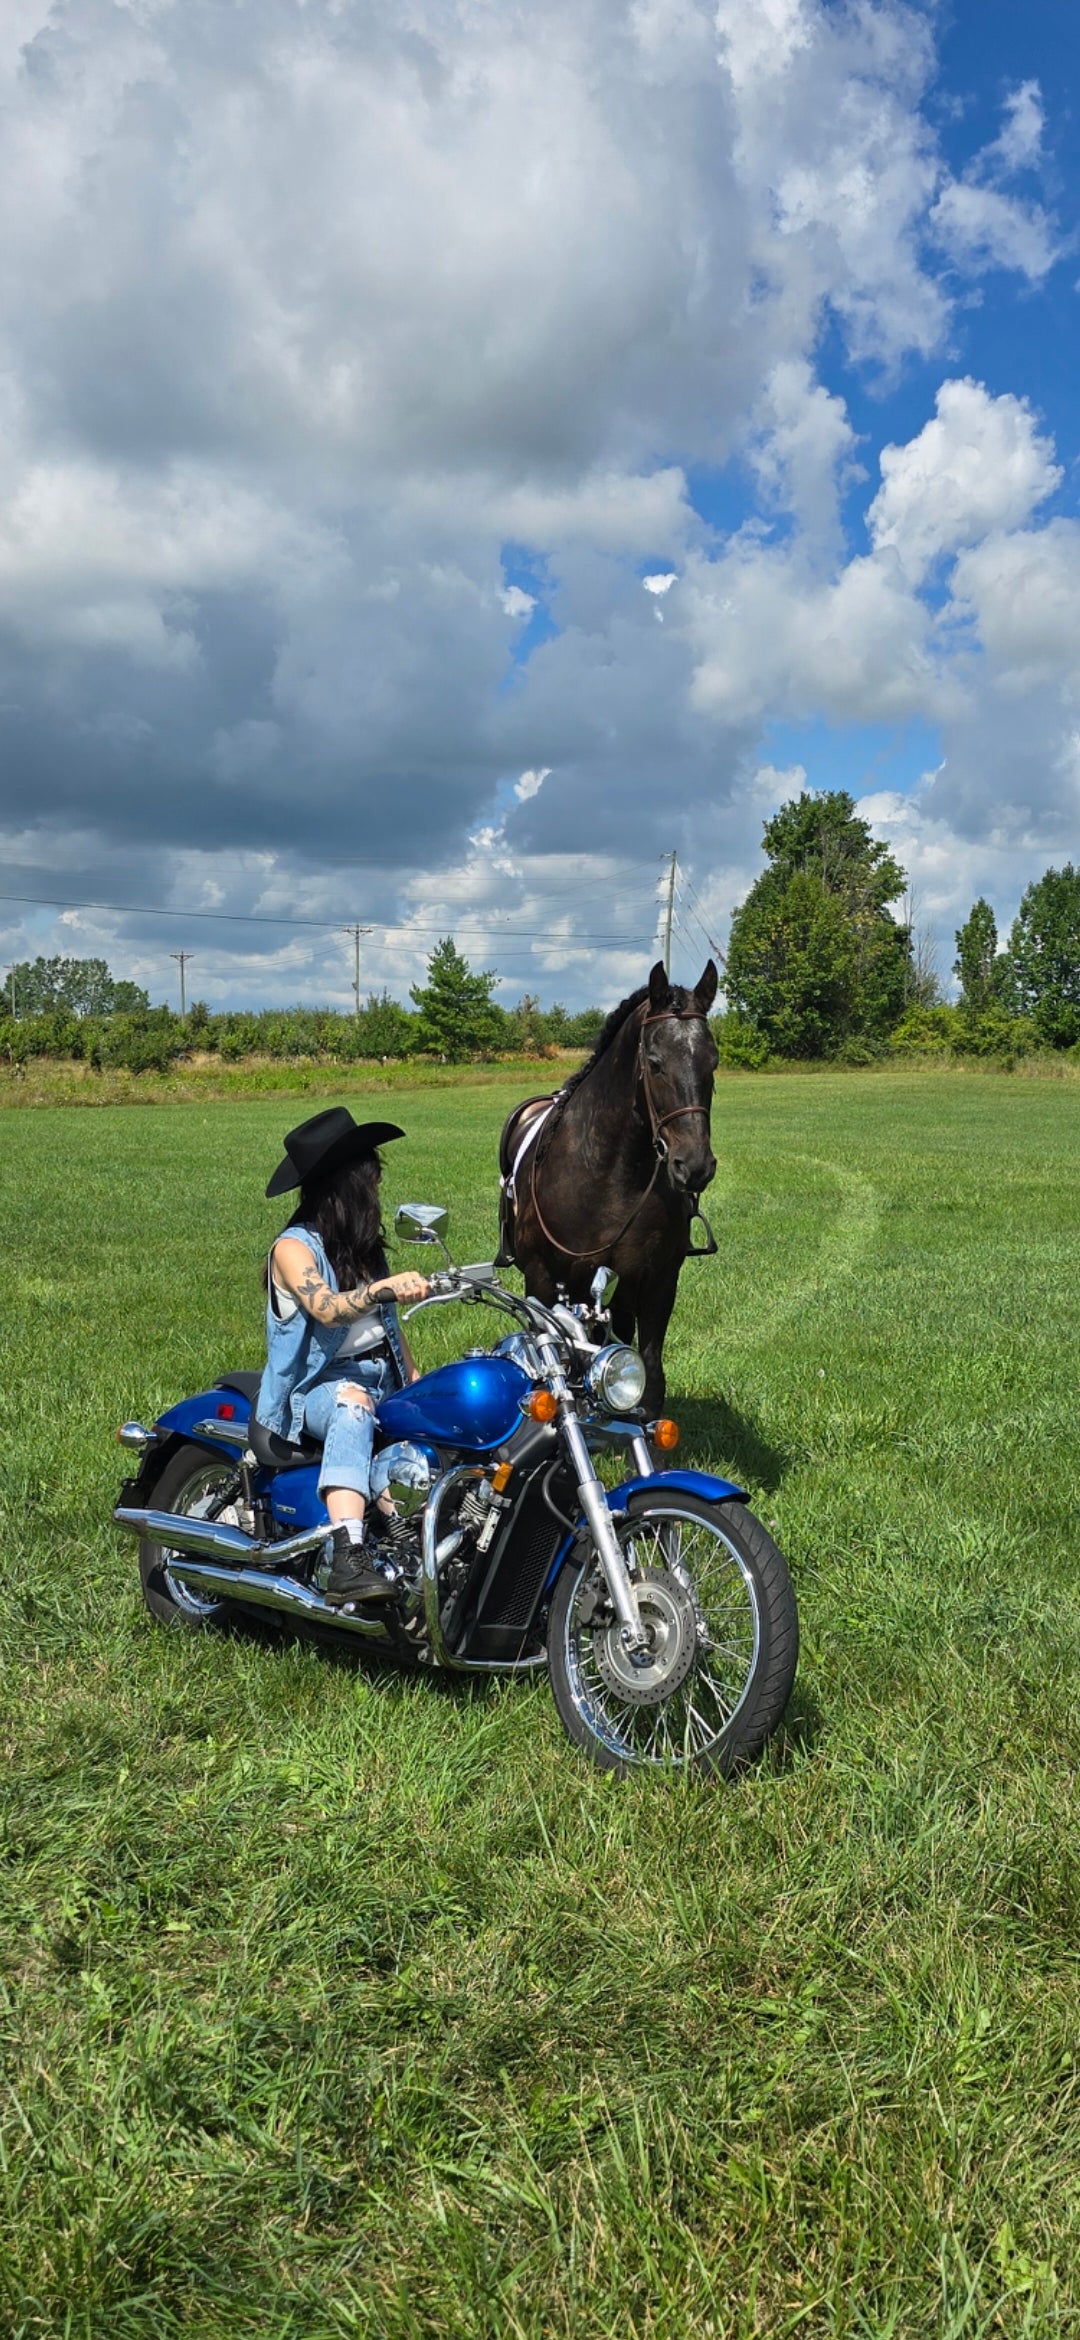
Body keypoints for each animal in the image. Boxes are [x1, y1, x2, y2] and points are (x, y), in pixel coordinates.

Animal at [496, 960, 719, 1414]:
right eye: (655, 1062)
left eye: (714, 1062)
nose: (695, 1166)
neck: (609, 1178)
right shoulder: (544, 1282)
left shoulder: (657, 1282)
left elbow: (649, 1375)